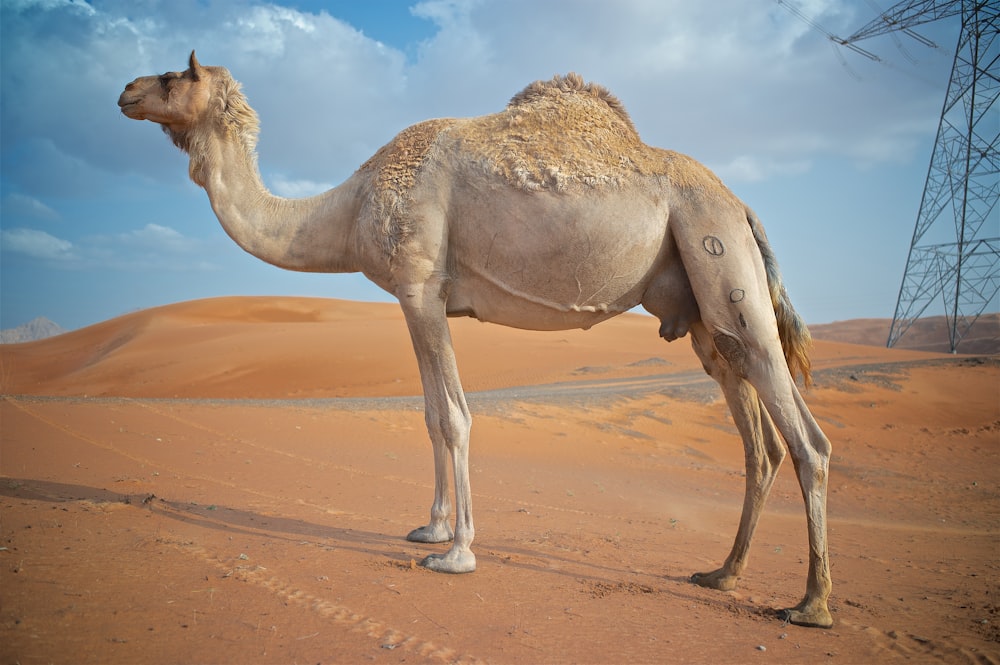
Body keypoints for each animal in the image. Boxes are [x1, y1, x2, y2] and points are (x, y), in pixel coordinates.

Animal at [117, 52, 836, 628]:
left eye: (175, 75)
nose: (125, 90)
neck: (350, 206)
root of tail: (741, 205)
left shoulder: (417, 287)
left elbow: (455, 417)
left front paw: (457, 552)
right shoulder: (423, 300)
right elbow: (431, 414)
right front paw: (429, 527)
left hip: (720, 253)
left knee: (806, 436)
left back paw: (811, 604)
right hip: (702, 305)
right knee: (758, 435)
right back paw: (722, 573)